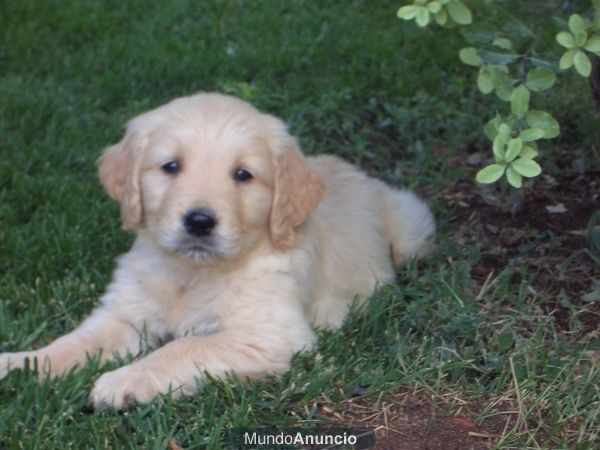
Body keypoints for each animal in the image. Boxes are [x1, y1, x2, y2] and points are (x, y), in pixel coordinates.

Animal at [0, 93, 434, 410]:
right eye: (171, 166)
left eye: (243, 175)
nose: (199, 222)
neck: (193, 271)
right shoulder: (126, 315)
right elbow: (73, 343)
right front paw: (19, 363)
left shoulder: (268, 333)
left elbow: (185, 346)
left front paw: (124, 380)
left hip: (410, 230)